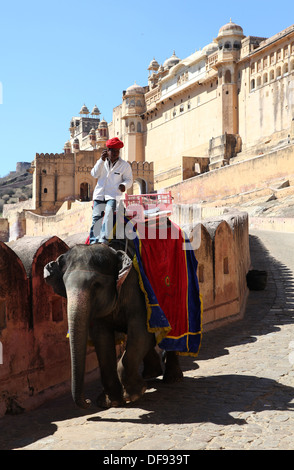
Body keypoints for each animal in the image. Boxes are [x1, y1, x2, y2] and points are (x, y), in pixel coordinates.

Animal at [43, 241, 183, 410]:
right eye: (64, 286)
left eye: (96, 285)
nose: (88, 401)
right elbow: (102, 339)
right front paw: (110, 402)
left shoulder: (137, 291)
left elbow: (142, 333)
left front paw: (134, 394)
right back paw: (151, 373)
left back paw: (173, 378)